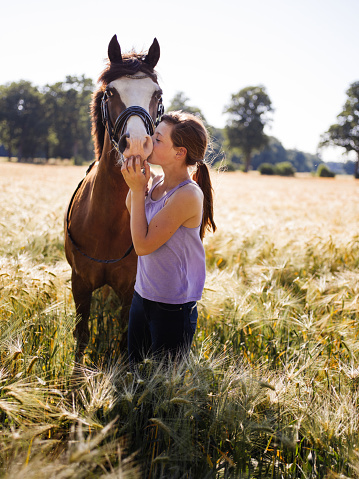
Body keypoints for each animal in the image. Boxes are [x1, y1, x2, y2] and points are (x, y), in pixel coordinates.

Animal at [65, 34, 164, 364]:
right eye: (110, 92)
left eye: (157, 94)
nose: (136, 145)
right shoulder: (80, 284)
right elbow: (82, 335)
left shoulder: (129, 289)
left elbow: (124, 339)